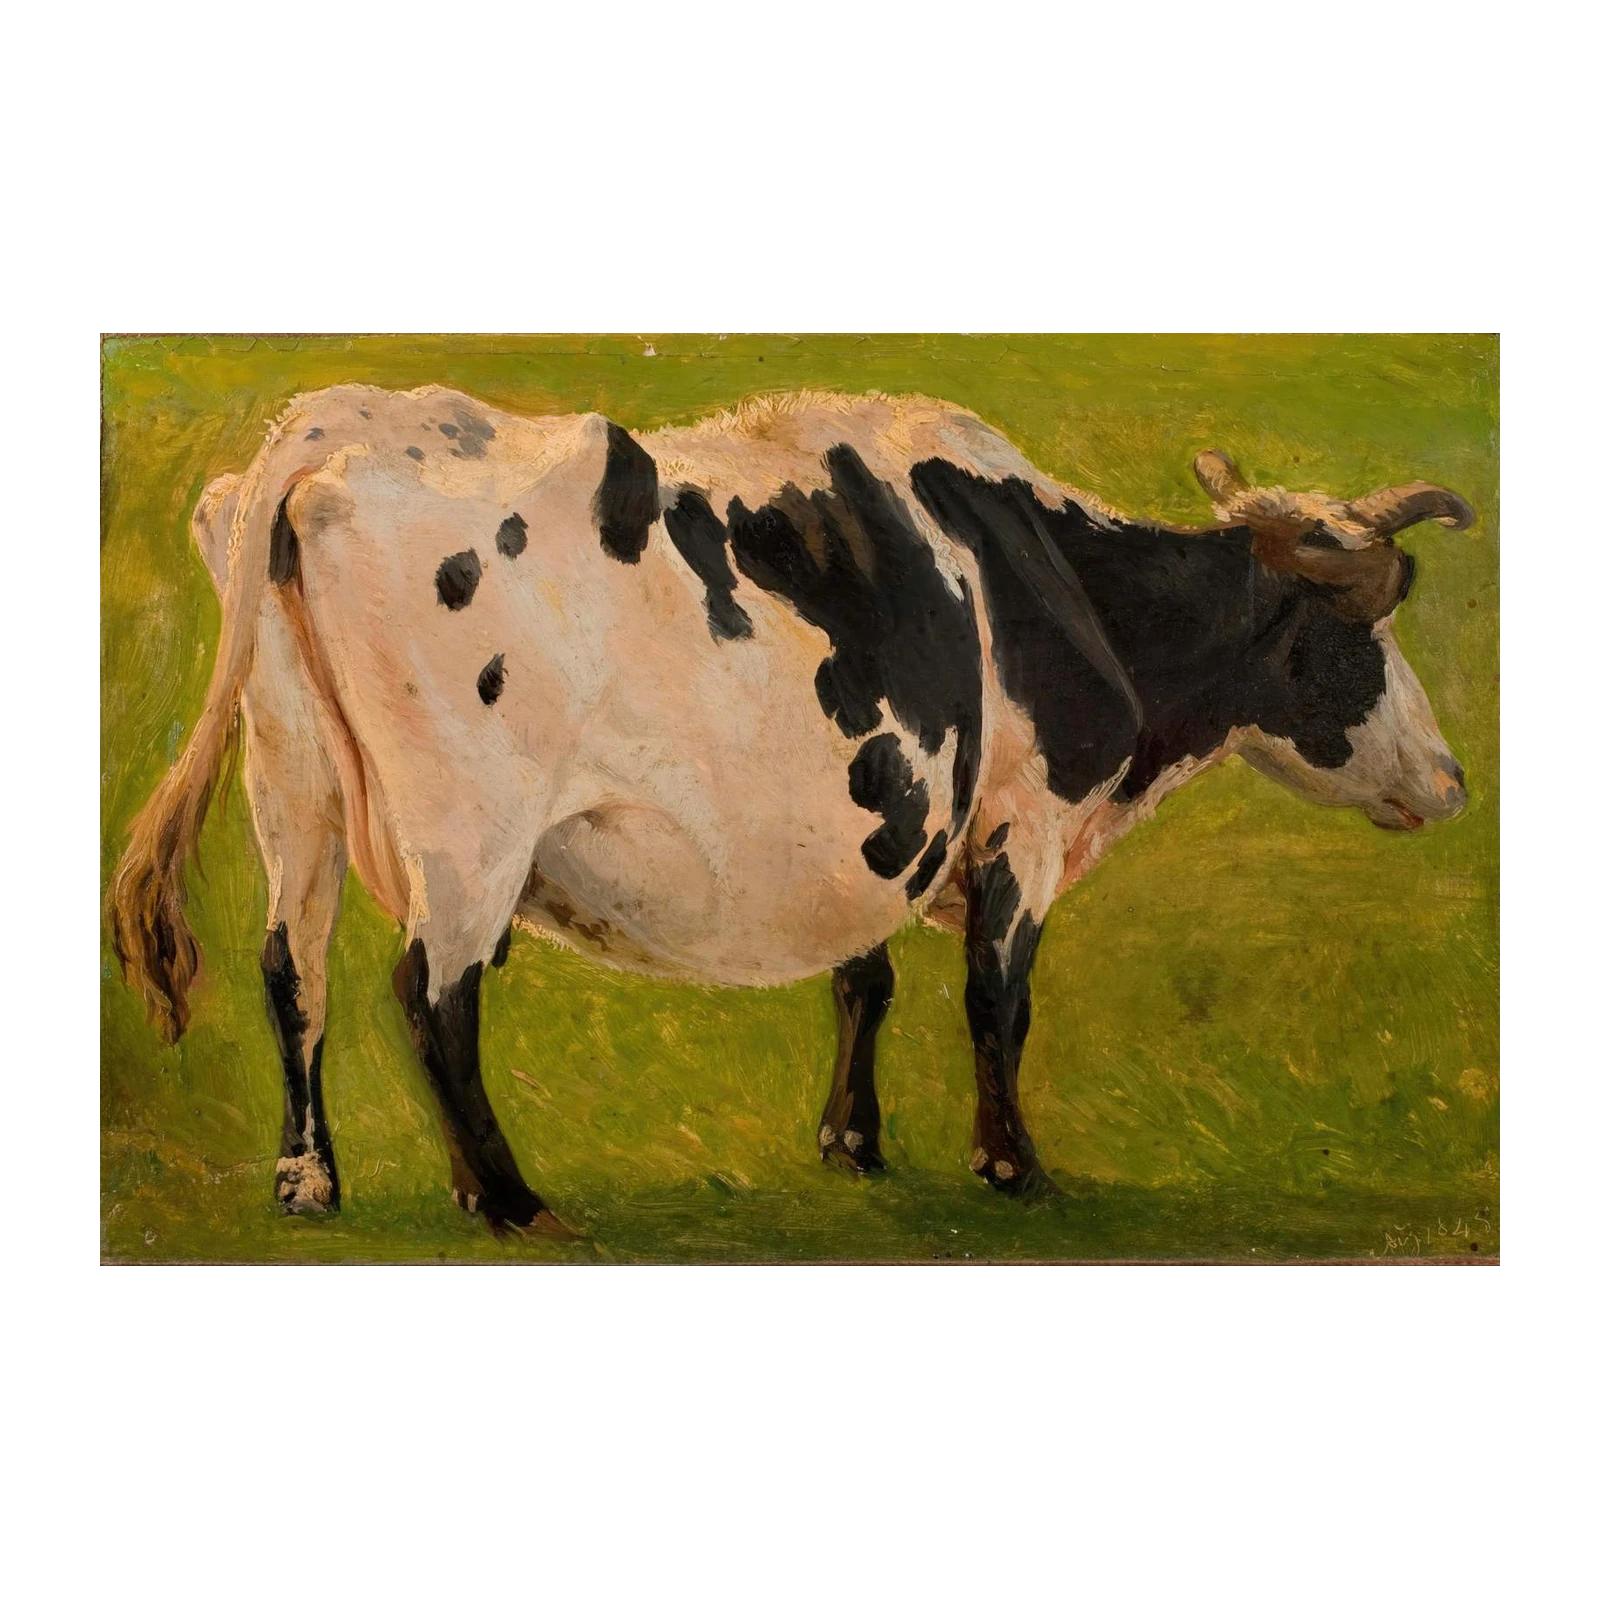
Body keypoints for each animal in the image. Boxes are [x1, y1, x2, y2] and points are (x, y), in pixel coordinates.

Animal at [105, 386, 1473, 1238]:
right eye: (1361, 641)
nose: (1455, 780)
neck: (1058, 585)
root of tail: (344, 421)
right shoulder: (1020, 823)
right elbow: (997, 1001)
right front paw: (1012, 1166)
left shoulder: (873, 822)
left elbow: (863, 977)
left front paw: (853, 1144)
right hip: (466, 827)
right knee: (429, 994)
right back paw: (507, 1200)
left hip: (292, 785)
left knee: (293, 969)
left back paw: (310, 1182)